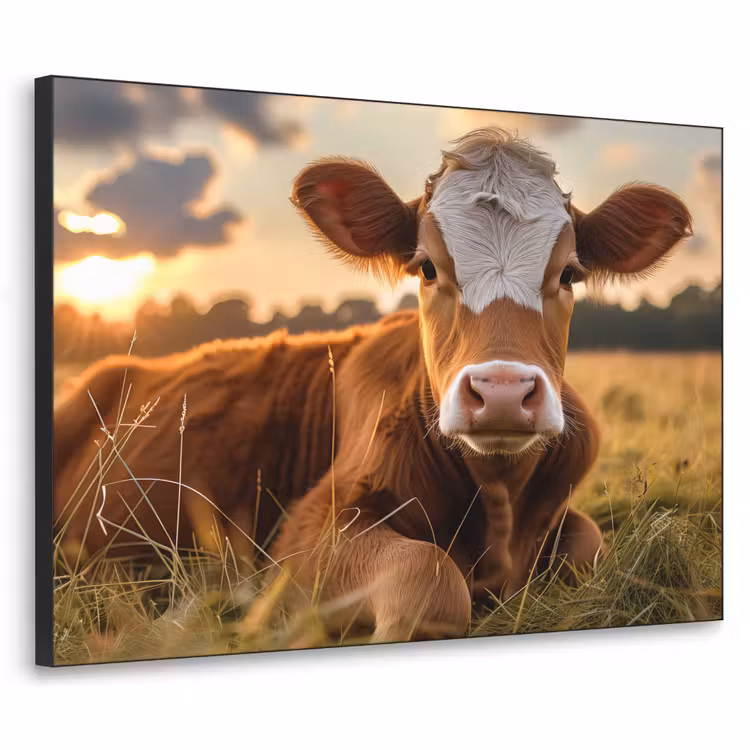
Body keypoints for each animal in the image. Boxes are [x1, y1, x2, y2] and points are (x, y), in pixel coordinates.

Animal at [53, 127, 691, 642]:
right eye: (427, 267)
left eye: (569, 273)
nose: (503, 392)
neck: (497, 500)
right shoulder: (306, 532)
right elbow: (429, 576)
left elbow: (589, 548)